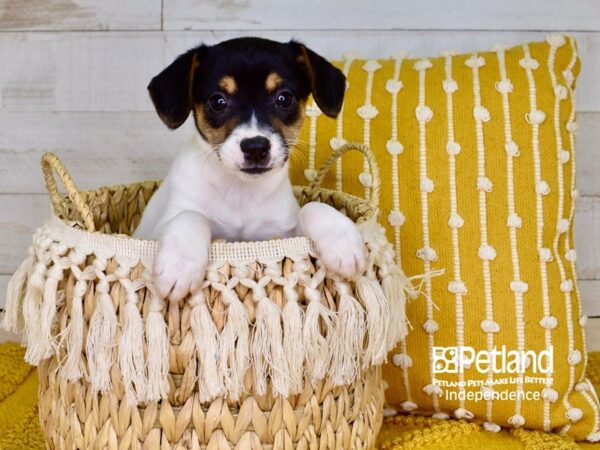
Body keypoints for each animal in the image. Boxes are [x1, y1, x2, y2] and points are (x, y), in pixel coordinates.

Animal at [134, 37, 366, 300]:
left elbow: (313, 207)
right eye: (218, 101)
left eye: (284, 98)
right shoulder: (157, 229)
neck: (240, 190)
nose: (255, 147)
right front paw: (179, 265)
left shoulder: (281, 233)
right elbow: (190, 216)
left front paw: (343, 243)